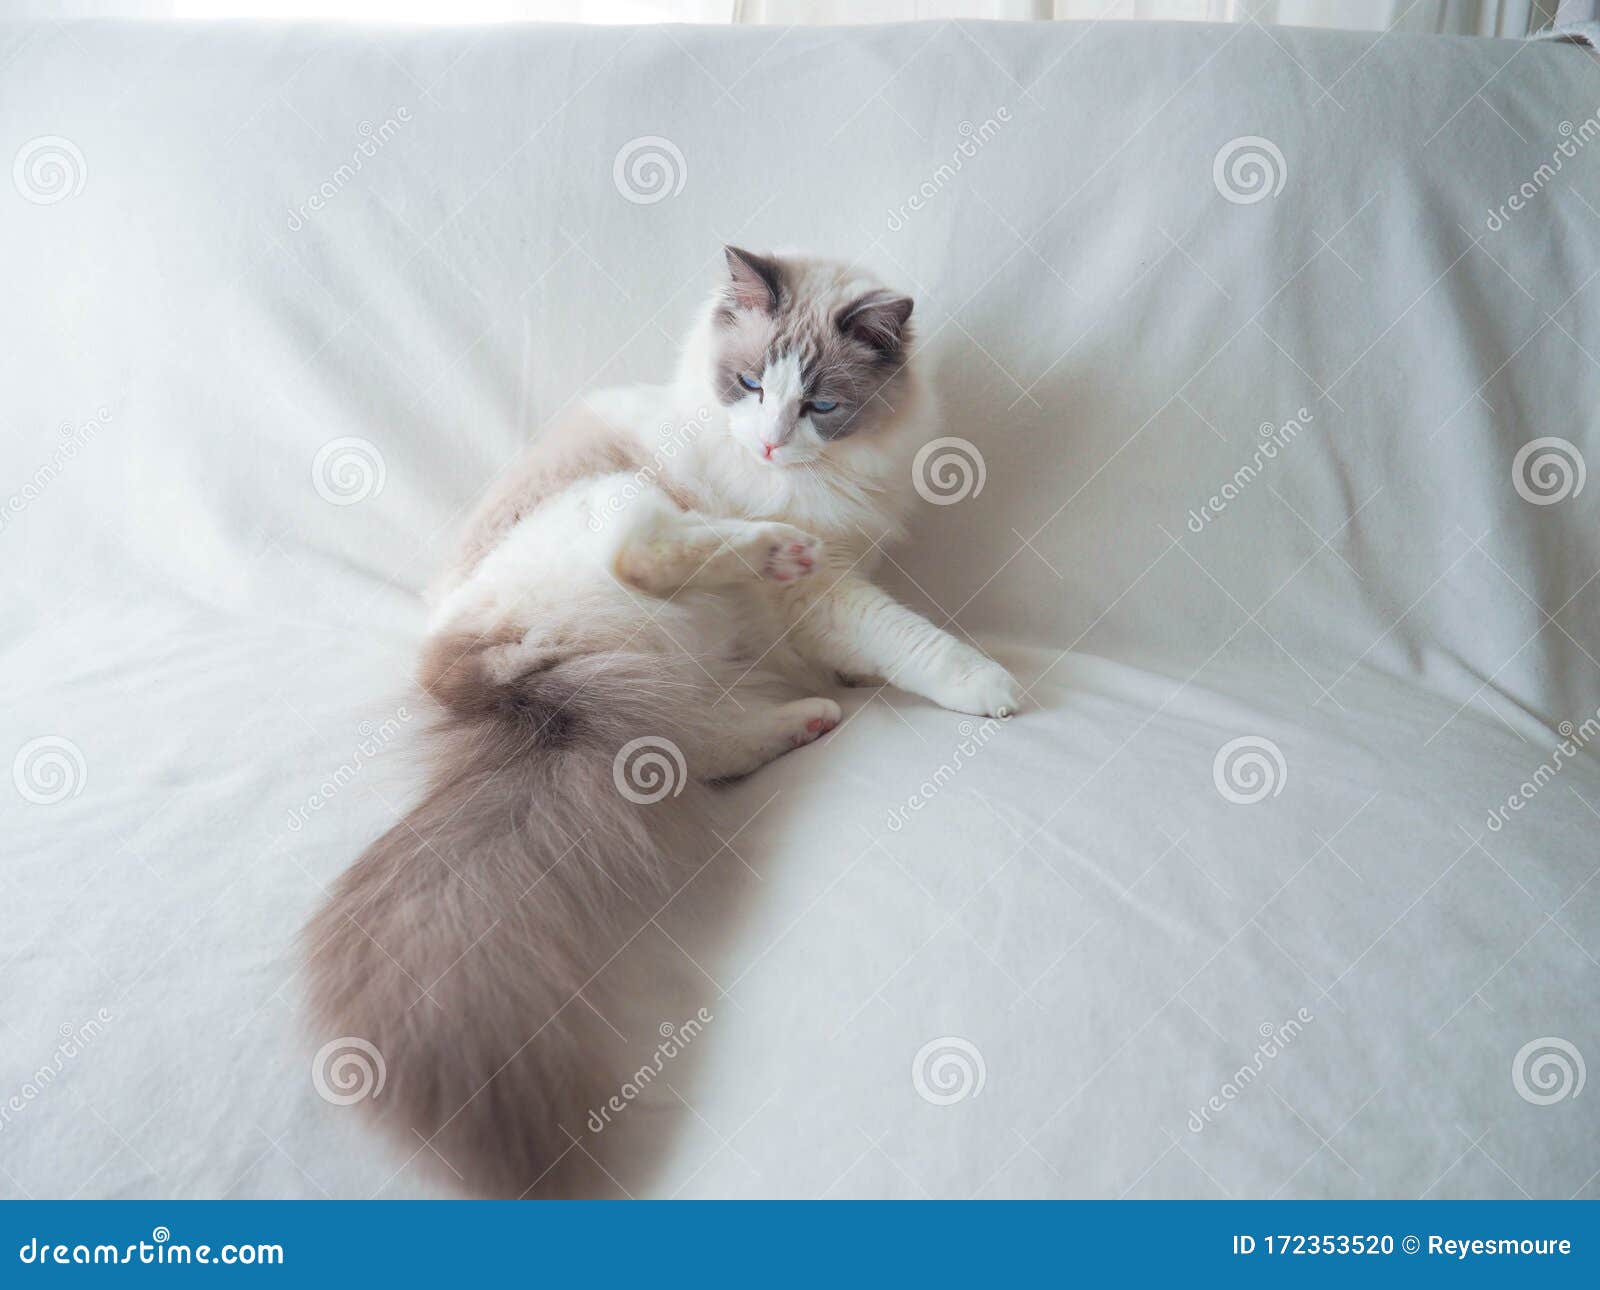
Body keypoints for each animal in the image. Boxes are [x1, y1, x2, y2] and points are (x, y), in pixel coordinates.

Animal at [305, 248, 1017, 1197]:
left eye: (820, 405)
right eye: (749, 384)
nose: (769, 440)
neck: (805, 481)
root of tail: (468, 671)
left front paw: (862, 681)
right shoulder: (827, 592)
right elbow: (912, 643)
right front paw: (993, 688)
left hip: (661, 687)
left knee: (698, 746)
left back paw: (808, 720)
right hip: (620, 509)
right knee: (644, 558)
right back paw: (769, 559)